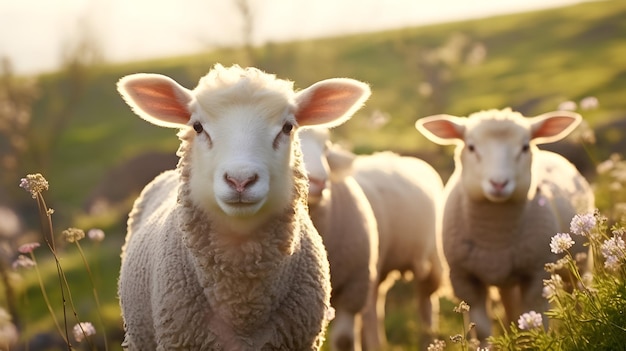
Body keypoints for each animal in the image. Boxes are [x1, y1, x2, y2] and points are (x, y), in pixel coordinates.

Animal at [412, 107, 592, 340]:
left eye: (525, 147)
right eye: (471, 147)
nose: (499, 183)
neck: (495, 236)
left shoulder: (536, 275)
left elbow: (536, 322)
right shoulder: (464, 279)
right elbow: (482, 330)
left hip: (576, 263)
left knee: (577, 291)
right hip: (506, 279)